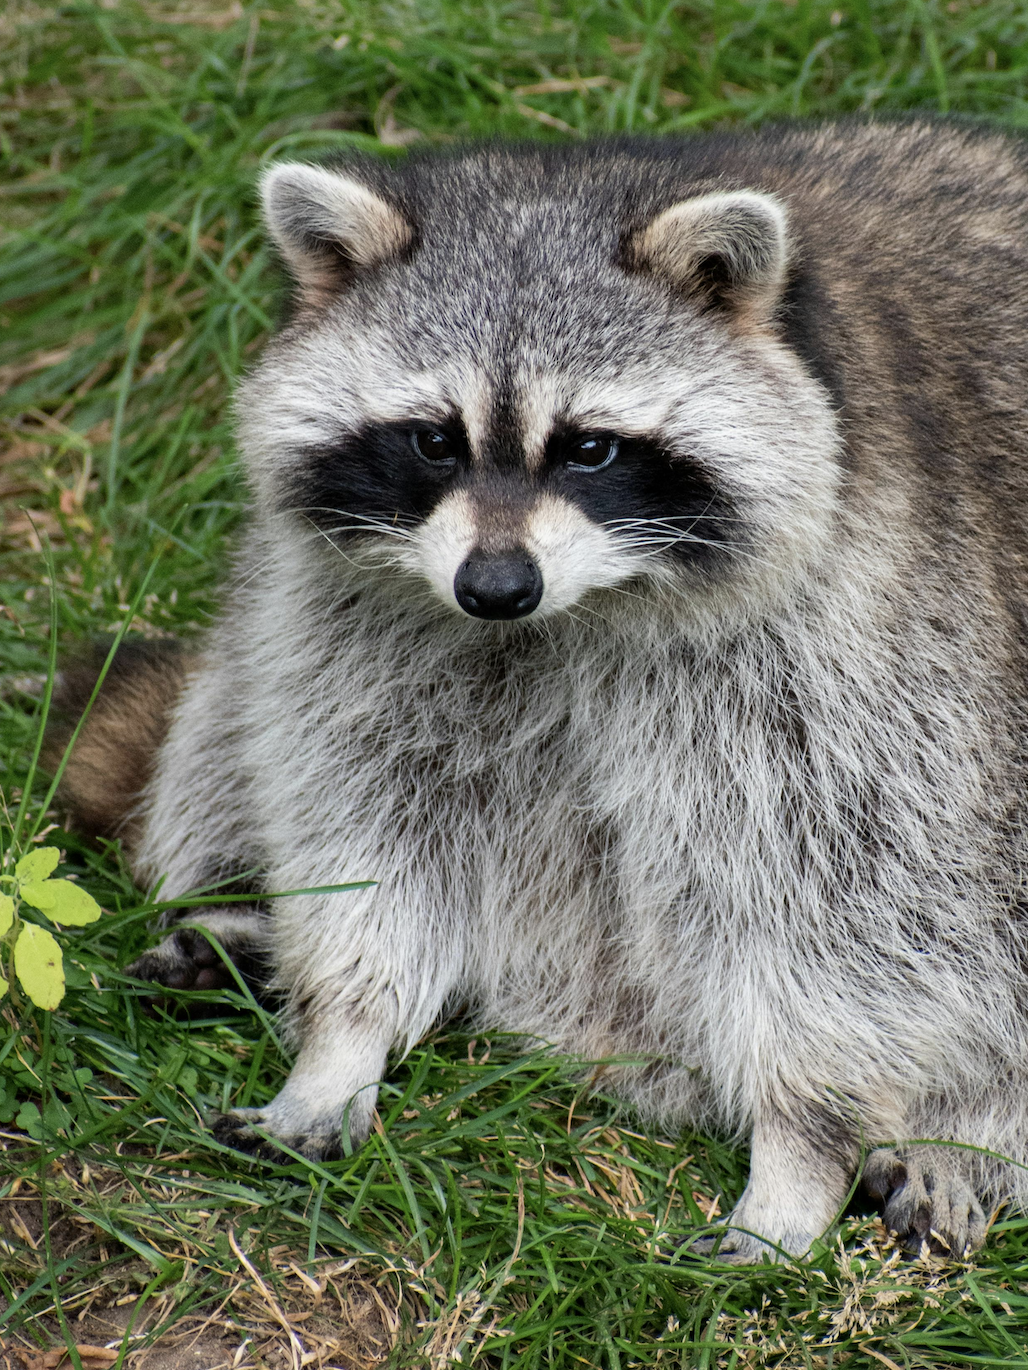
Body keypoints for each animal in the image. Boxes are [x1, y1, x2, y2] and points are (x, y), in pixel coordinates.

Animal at [57, 119, 1028, 1261]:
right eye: (434, 438)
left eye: (590, 448)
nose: (494, 587)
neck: (565, 620)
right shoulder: (354, 629)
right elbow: (368, 815)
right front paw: (343, 1036)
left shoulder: (863, 648)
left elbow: (839, 903)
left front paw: (800, 1150)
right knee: (219, 725)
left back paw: (966, 1132)